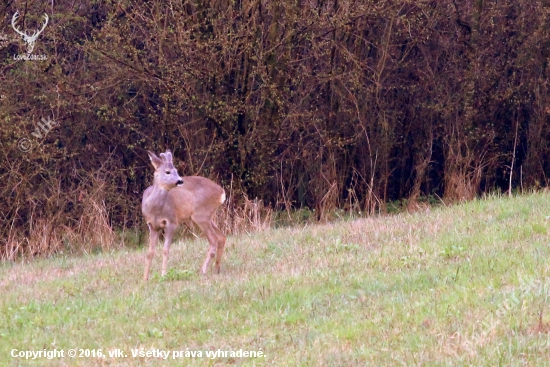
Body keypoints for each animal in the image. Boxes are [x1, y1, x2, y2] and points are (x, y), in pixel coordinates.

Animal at [144, 150, 229, 282]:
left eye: (176, 170)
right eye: (168, 171)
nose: (180, 181)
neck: (155, 210)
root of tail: (222, 192)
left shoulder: (172, 222)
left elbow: (165, 250)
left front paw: (163, 275)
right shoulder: (152, 225)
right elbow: (150, 252)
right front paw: (145, 278)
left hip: (201, 215)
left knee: (214, 239)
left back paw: (203, 270)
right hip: (207, 216)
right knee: (221, 237)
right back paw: (216, 269)